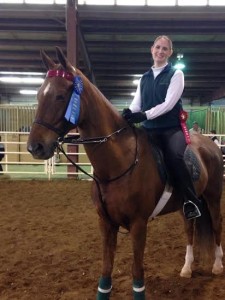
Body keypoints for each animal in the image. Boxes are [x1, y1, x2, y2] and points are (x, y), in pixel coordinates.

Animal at [27, 46, 224, 298]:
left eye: (61, 96)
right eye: (39, 95)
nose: (35, 147)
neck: (119, 162)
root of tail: (210, 145)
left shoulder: (139, 225)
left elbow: (137, 273)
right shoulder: (106, 224)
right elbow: (105, 274)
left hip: (213, 197)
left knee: (217, 225)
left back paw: (217, 265)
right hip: (187, 204)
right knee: (190, 229)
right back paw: (187, 268)